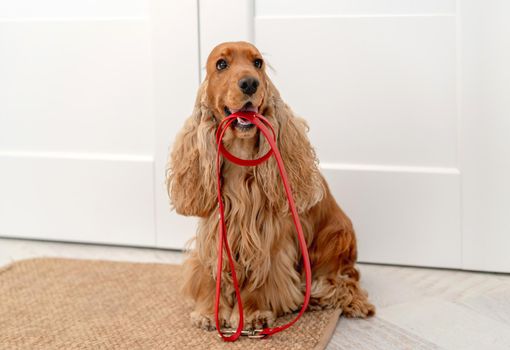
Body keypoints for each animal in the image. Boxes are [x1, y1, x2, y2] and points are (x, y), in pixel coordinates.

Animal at [167, 41, 374, 330]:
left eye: (258, 63)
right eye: (221, 64)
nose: (250, 83)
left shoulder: (272, 237)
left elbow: (265, 274)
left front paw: (253, 312)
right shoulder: (215, 230)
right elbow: (210, 273)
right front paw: (209, 312)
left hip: (337, 238)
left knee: (345, 283)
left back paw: (322, 295)